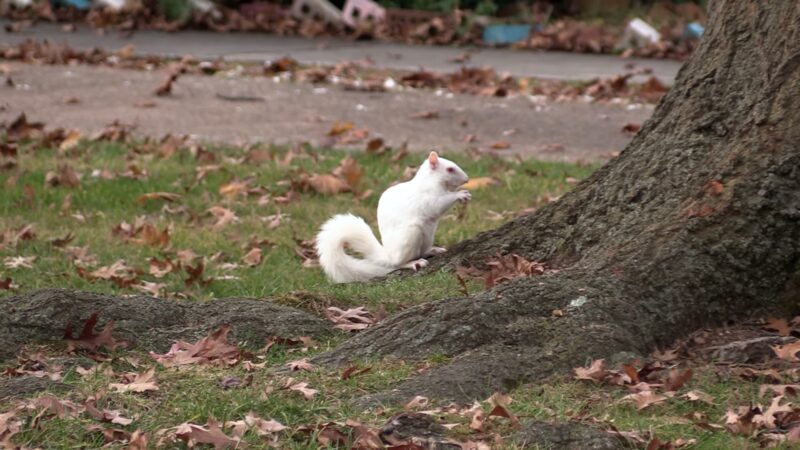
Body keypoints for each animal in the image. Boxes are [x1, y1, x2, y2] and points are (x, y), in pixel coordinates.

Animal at [318, 152, 472, 284]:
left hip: (428, 236)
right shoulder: (428, 198)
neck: (430, 181)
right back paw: (412, 262)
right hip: (411, 235)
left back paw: (433, 250)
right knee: (398, 263)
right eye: (450, 169)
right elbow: (439, 204)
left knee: (422, 252)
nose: (467, 179)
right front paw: (460, 194)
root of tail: (388, 255)